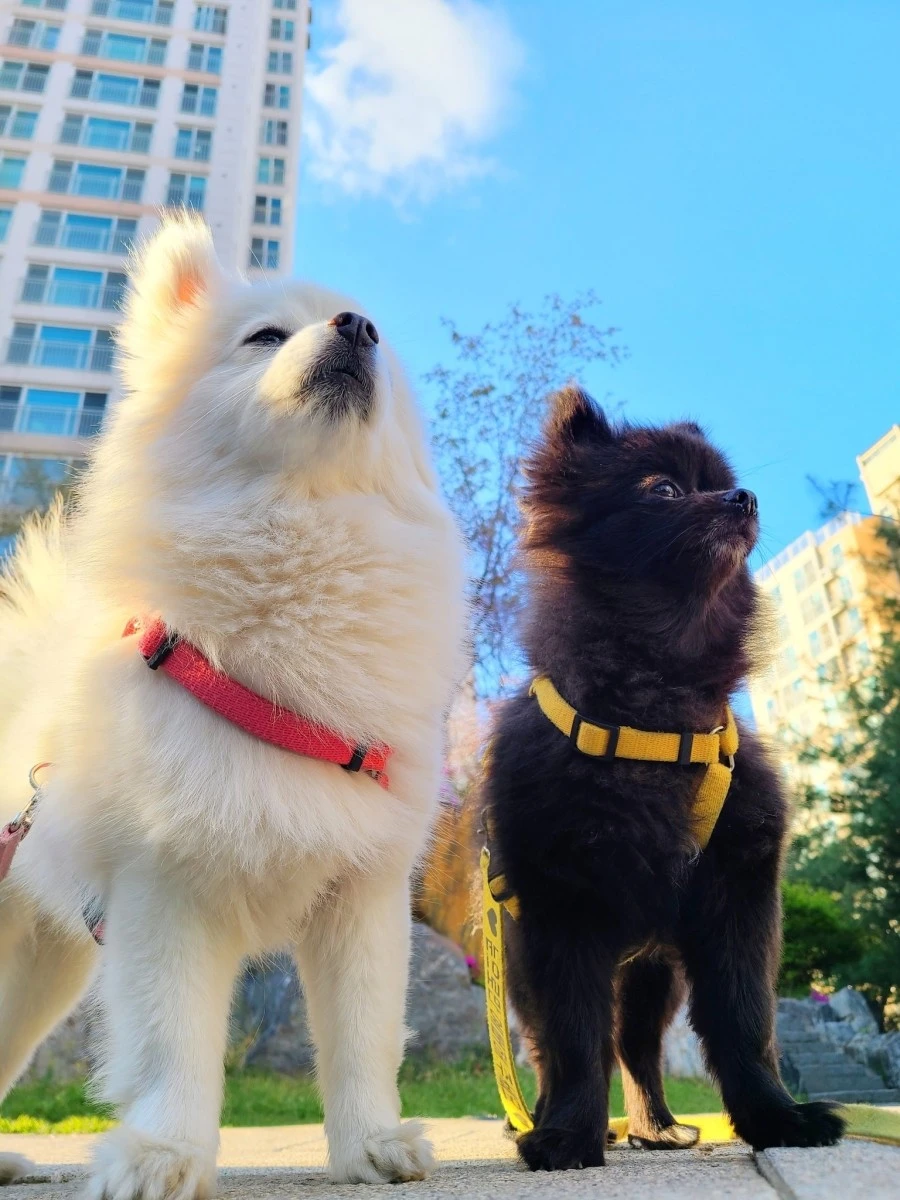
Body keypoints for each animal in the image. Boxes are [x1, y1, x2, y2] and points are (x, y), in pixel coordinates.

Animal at [0, 216, 466, 1197]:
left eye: (377, 337)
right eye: (263, 336)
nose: (357, 326)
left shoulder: (362, 895)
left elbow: (362, 1040)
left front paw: (373, 1144)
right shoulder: (164, 892)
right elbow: (173, 1044)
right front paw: (164, 1156)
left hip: (46, 963)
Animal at [479, 386, 845, 1171]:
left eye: (720, 482)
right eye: (665, 490)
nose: (743, 497)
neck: (654, 718)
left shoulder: (737, 898)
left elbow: (744, 1022)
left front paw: (776, 1118)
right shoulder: (564, 913)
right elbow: (575, 1041)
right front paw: (568, 1136)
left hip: (650, 976)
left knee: (638, 1051)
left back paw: (655, 1127)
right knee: (560, 1048)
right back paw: (544, 1118)